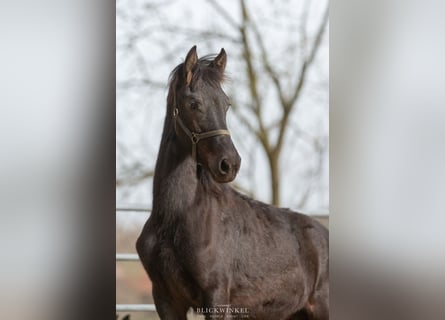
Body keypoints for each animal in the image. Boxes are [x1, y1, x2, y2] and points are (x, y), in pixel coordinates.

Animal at [135, 46, 326, 318]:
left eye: (226, 104)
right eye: (193, 104)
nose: (230, 164)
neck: (175, 217)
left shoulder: (217, 298)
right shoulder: (165, 300)